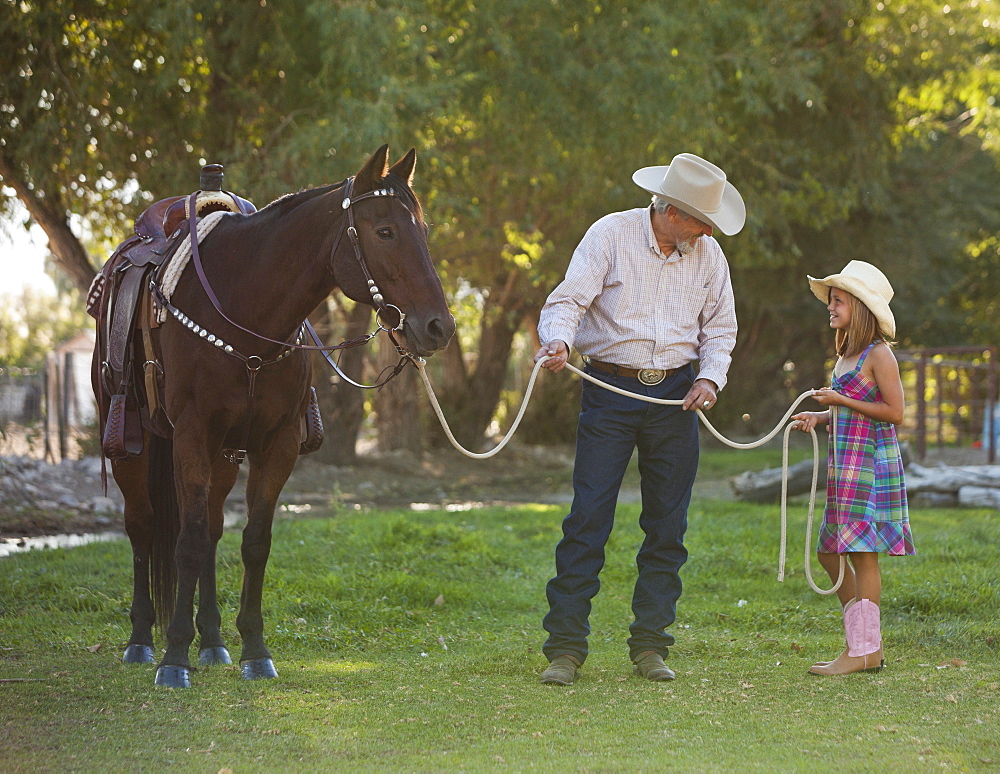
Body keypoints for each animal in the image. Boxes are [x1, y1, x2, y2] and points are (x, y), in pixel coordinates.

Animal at [94, 149, 454, 688]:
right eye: (385, 230)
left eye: (423, 231)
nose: (439, 327)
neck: (245, 309)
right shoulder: (193, 436)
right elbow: (187, 542)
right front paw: (174, 656)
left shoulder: (276, 445)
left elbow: (253, 542)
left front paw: (253, 650)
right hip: (131, 442)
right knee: (144, 525)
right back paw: (141, 640)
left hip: (224, 455)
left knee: (212, 526)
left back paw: (213, 641)